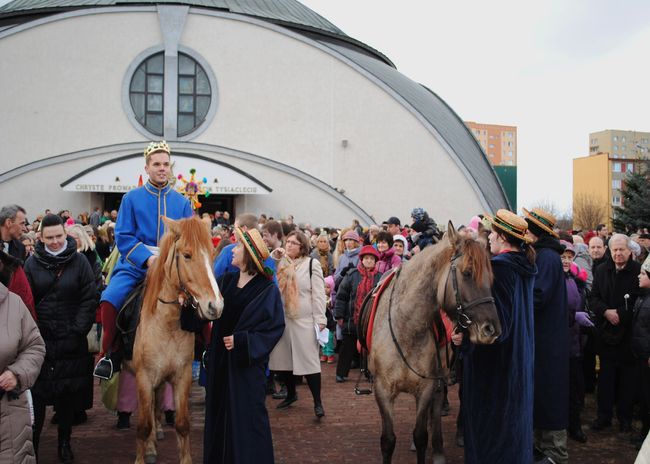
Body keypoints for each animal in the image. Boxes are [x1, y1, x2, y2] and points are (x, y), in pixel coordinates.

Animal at [130, 218, 224, 464]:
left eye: (212, 253)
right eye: (187, 255)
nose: (216, 306)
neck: (168, 324)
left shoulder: (182, 375)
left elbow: (182, 424)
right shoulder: (143, 377)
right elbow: (142, 426)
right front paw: (141, 456)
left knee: (156, 407)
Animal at [368, 223, 498, 462]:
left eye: (491, 279)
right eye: (467, 273)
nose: (491, 330)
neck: (406, 329)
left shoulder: (427, 386)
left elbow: (421, 435)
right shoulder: (382, 390)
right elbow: (388, 440)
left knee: (443, 406)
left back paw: (441, 446)